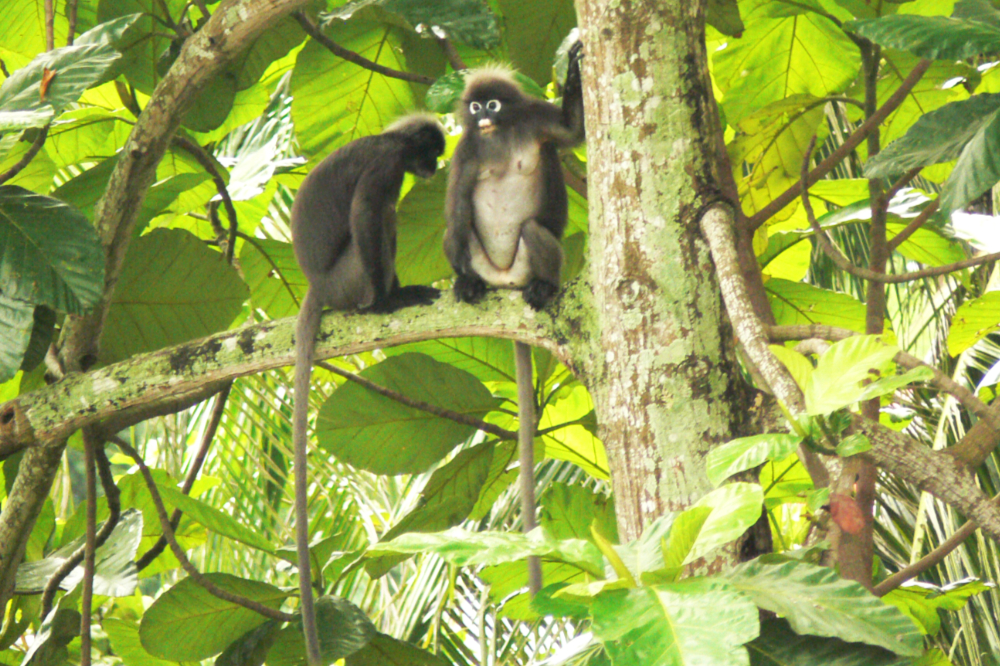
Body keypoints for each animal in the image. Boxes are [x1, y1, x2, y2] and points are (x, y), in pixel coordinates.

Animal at [291, 114, 445, 665]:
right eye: (432, 153)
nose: (437, 166)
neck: (391, 139)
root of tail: (318, 285)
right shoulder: (387, 165)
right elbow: (365, 212)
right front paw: (388, 300)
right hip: (349, 277)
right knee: (382, 218)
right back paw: (383, 299)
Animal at [443, 43, 585, 595]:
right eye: (475, 108)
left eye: (494, 106)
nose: (481, 117)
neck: (498, 139)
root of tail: (506, 281)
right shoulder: (465, 154)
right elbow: (456, 209)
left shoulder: (533, 121)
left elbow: (571, 133)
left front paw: (575, 68)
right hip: (482, 259)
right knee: (461, 229)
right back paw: (468, 284)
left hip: (528, 255)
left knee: (531, 231)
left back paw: (542, 287)